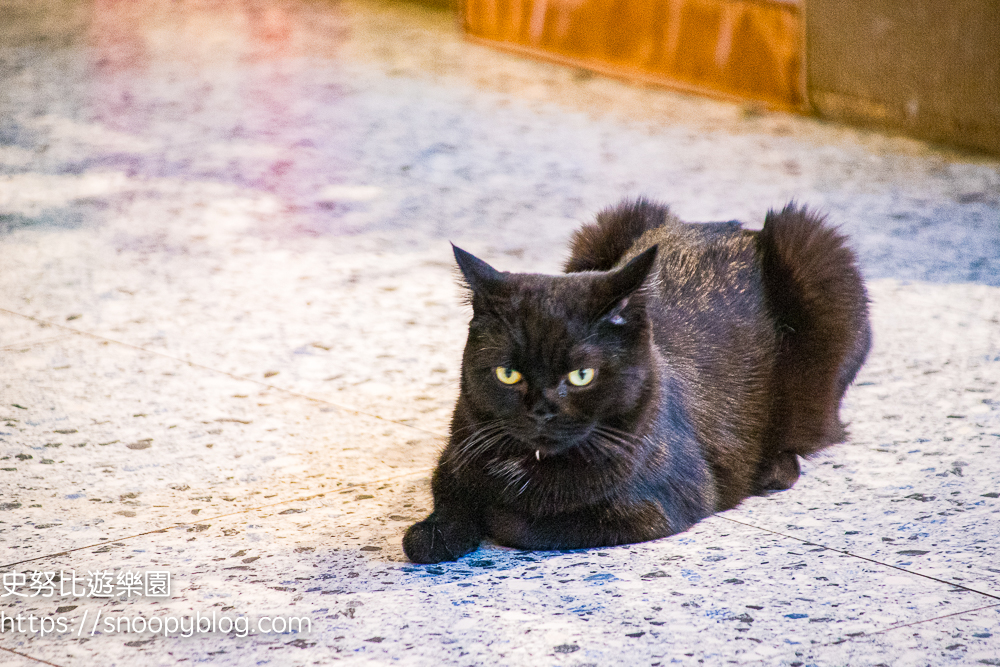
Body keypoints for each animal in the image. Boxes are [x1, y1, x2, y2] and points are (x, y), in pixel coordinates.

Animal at [402, 200, 872, 564]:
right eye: (508, 373)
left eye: (581, 375)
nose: (541, 410)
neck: (532, 462)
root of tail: (731, 227)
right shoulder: (457, 450)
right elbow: (445, 498)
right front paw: (434, 532)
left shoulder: (657, 506)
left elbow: (531, 526)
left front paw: (497, 516)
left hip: (817, 255)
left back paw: (775, 467)